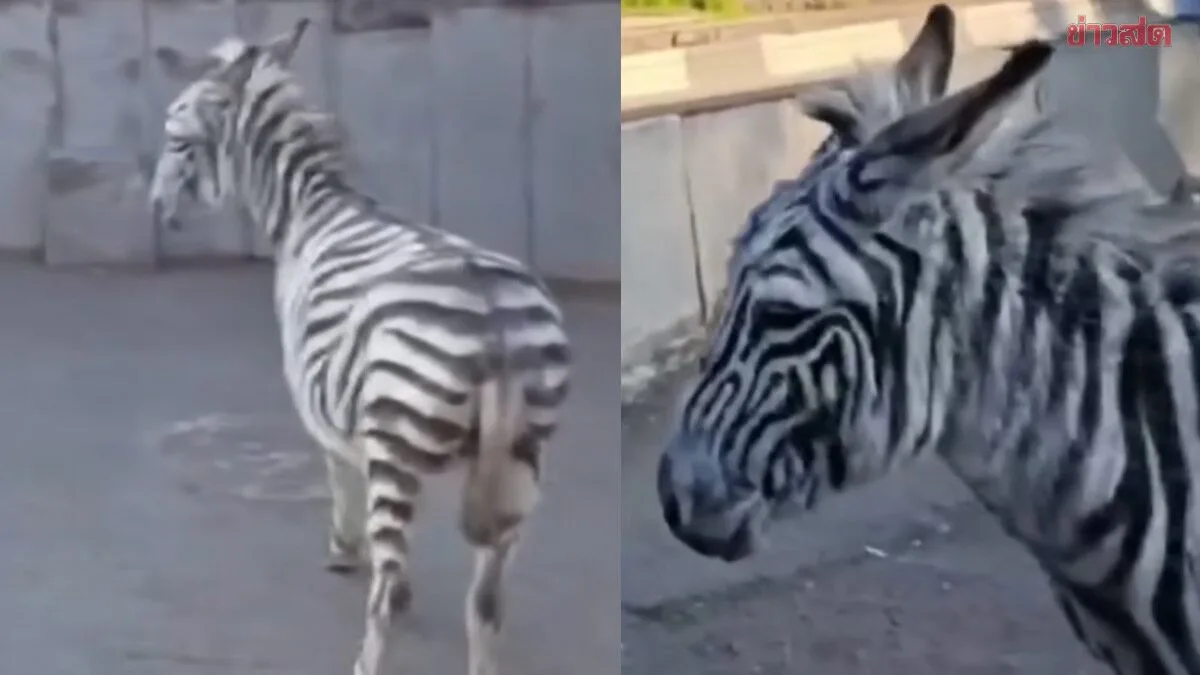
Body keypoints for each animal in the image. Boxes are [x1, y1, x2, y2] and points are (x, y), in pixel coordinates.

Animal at [146, 20, 571, 675]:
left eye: (177, 140)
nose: (155, 211)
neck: (310, 210)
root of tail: (493, 317)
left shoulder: (322, 403)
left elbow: (339, 475)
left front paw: (345, 550)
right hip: (522, 462)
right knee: (487, 603)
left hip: (403, 444)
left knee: (388, 597)